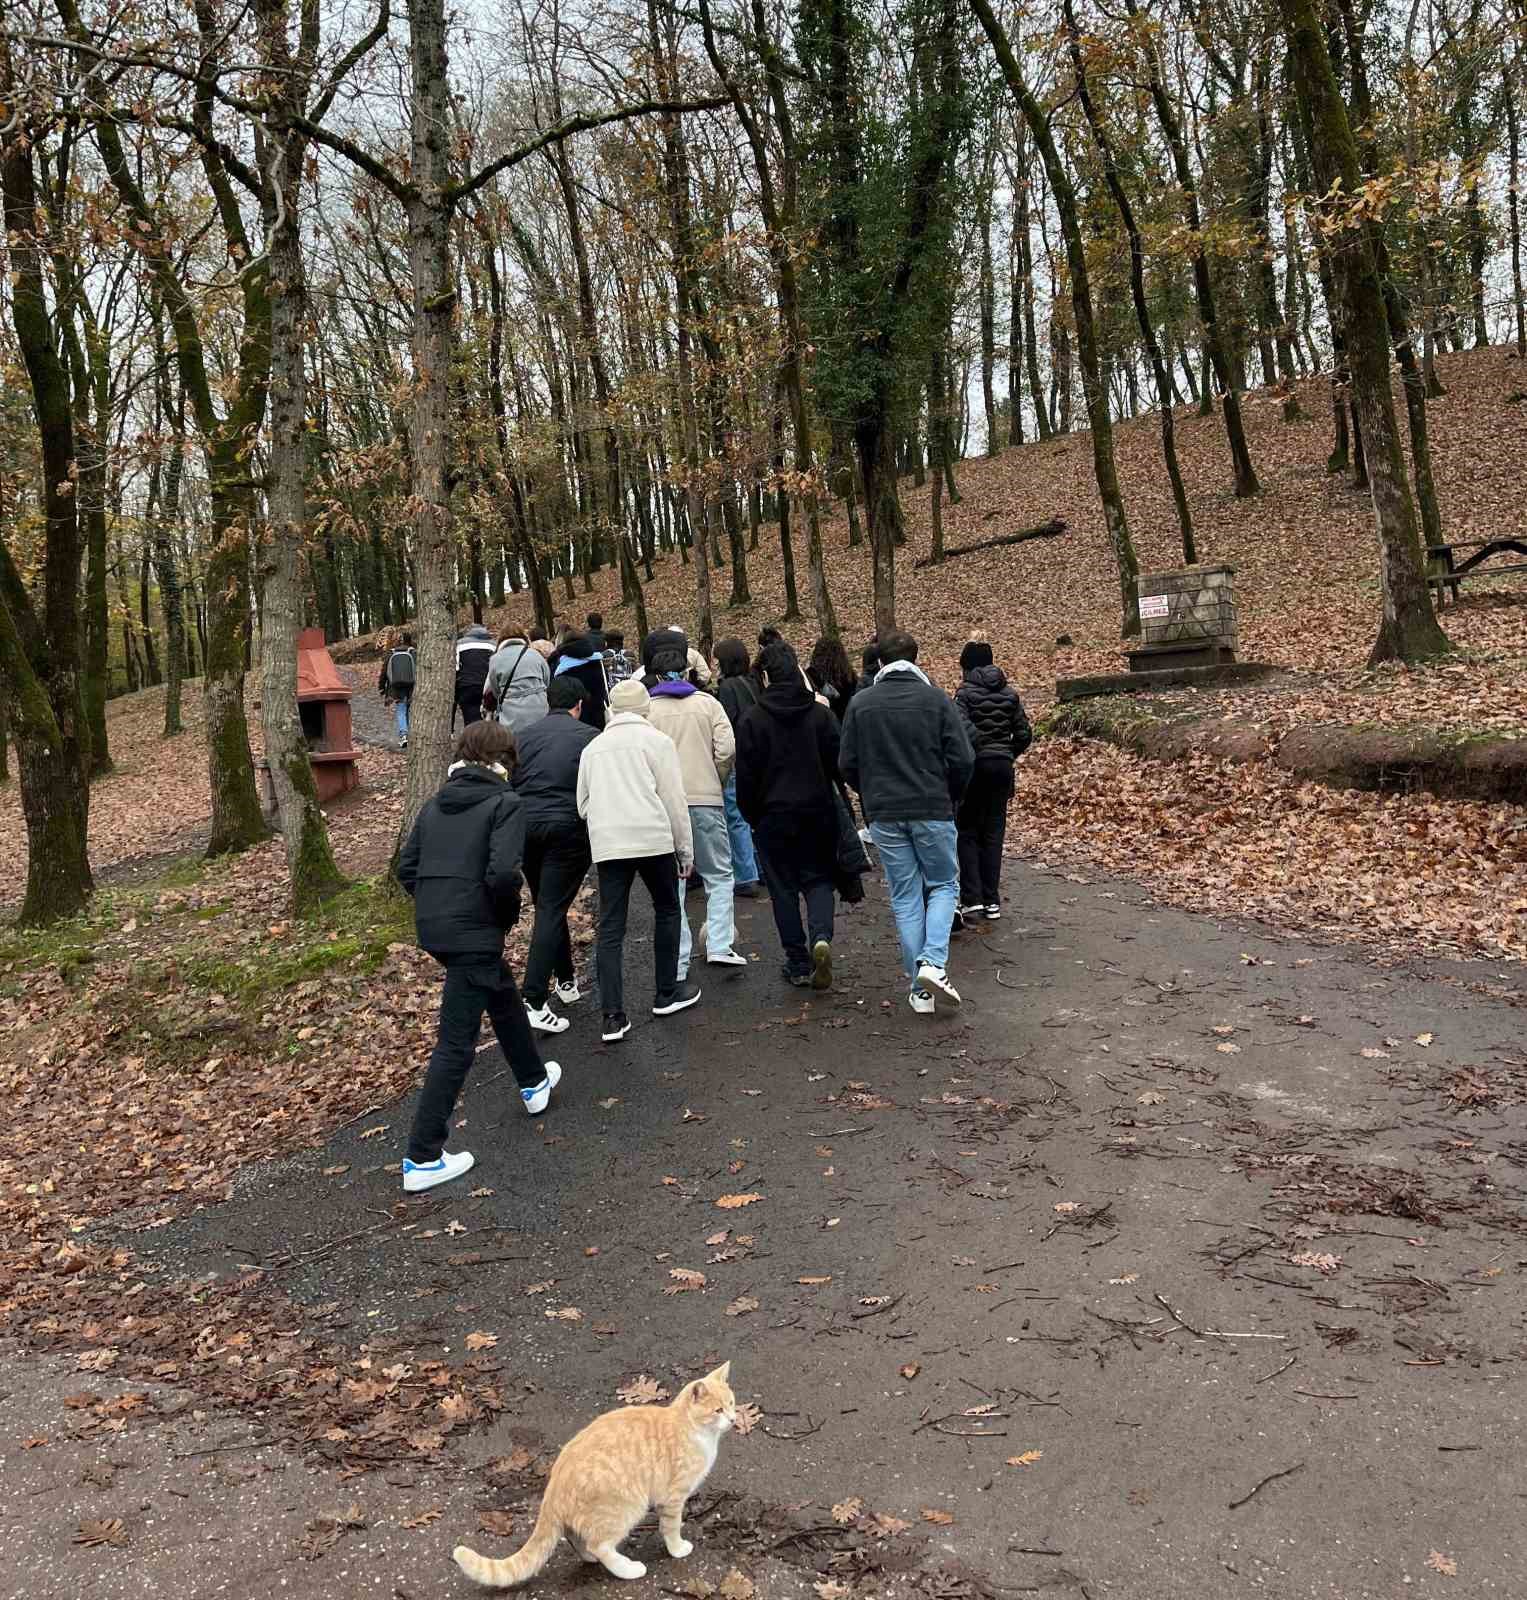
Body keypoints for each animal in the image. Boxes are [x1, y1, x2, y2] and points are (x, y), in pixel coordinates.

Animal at [451, 1363, 739, 1587]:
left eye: (732, 1404)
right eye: (718, 1410)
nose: (734, 1420)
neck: (692, 1429)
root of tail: (553, 1486)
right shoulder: (673, 1497)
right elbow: (671, 1527)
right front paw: (677, 1549)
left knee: (577, 1538)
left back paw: (590, 1559)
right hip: (626, 1508)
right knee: (599, 1545)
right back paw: (628, 1569)